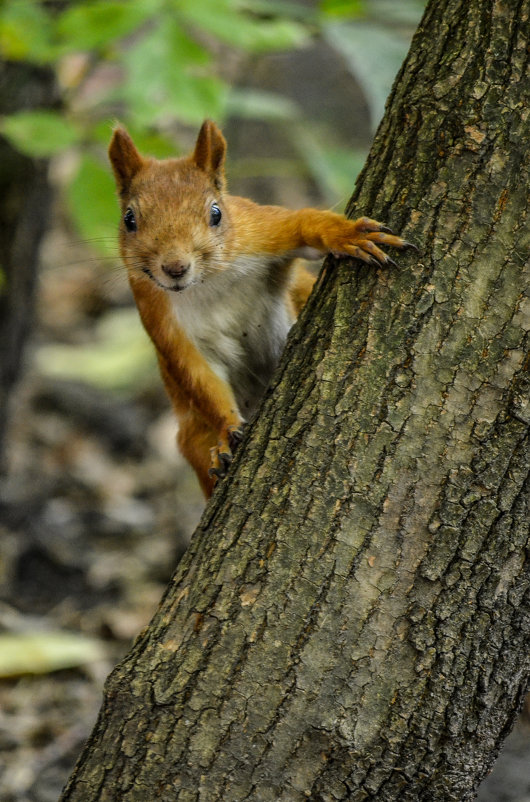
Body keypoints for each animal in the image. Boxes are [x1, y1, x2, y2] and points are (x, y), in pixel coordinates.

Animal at [108, 120, 412, 494]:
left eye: (216, 213)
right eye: (129, 219)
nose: (175, 267)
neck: (209, 282)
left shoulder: (259, 231)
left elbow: (302, 223)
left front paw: (345, 234)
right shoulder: (159, 316)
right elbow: (199, 377)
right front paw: (227, 433)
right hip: (191, 436)